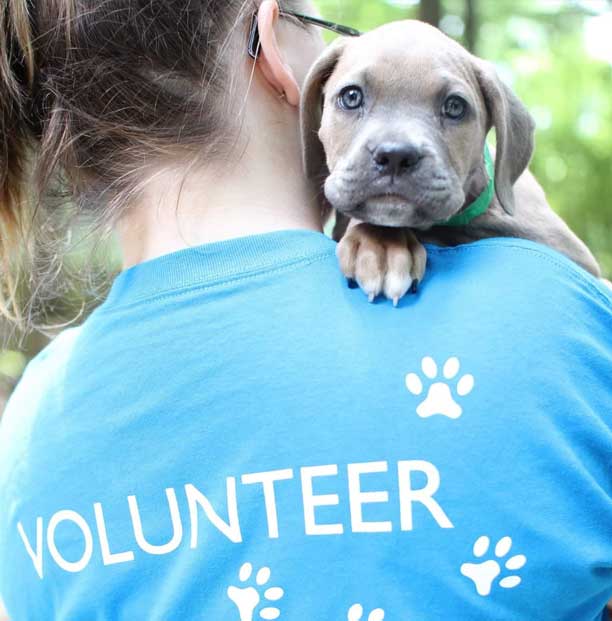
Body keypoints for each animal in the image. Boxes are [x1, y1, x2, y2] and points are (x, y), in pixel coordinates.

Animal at [302, 22, 604, 306]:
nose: (395, 156)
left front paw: (382, 245)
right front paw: (380, 244)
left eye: (455, 107)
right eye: (351, 96)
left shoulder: (566, 250)